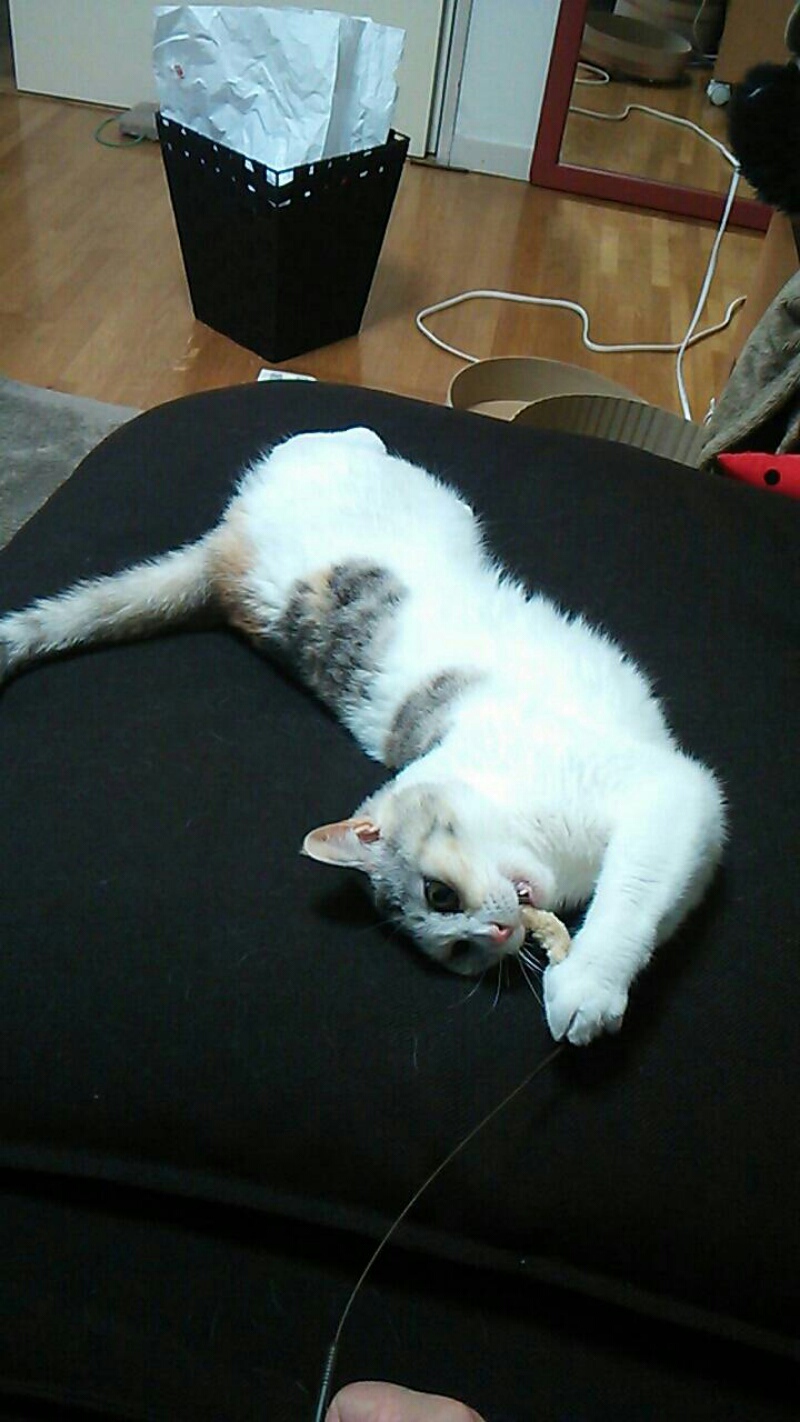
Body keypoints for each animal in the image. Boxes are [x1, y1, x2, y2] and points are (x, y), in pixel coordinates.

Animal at [0, 426, 725, 1045]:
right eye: (456, 948)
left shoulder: (672, 793)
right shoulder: (687, 824)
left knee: (322, 440)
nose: (496, 931)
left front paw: (587, 987)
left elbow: (631, 893)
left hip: (407, 492)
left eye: (439, 893)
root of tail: (219, 561)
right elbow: (653, 902)